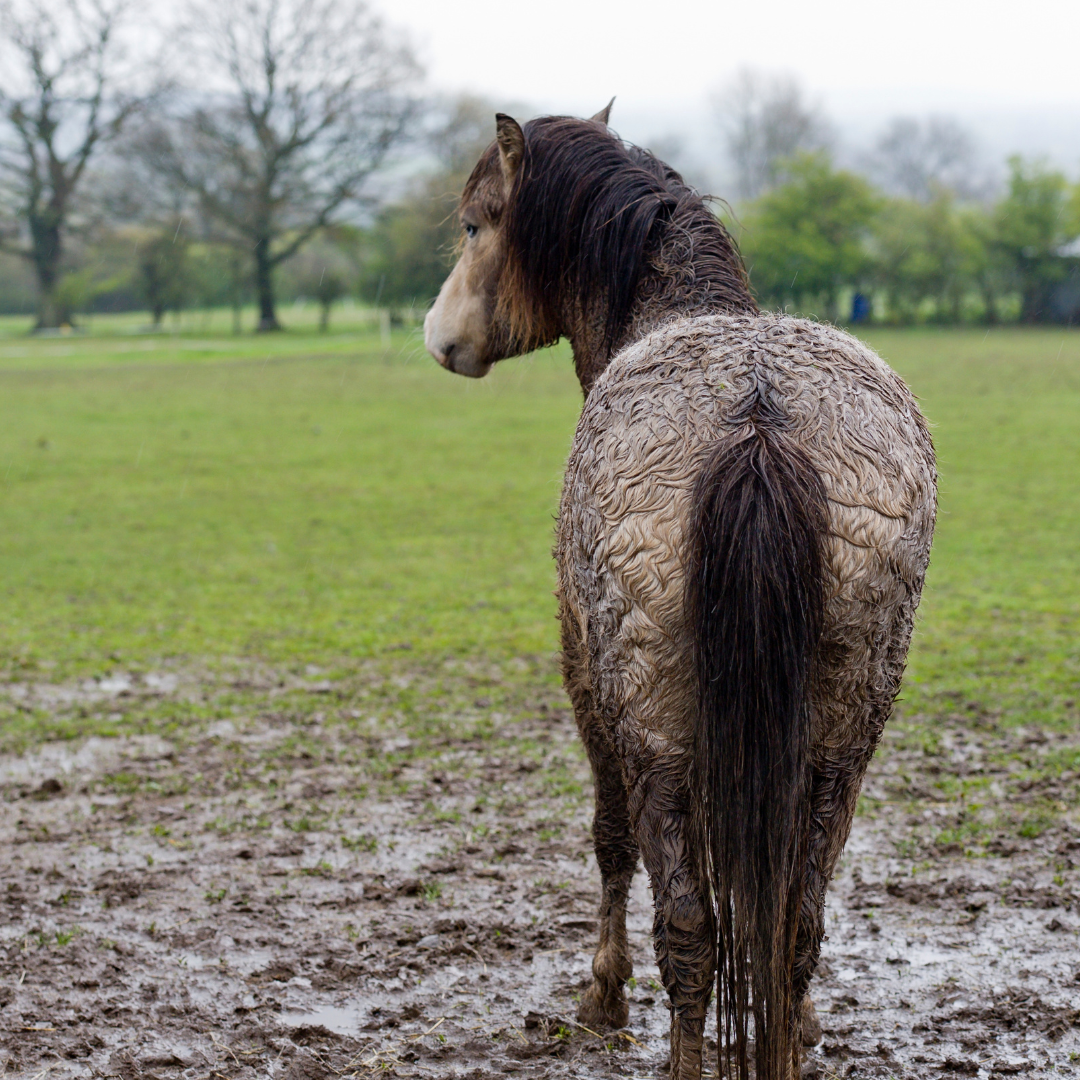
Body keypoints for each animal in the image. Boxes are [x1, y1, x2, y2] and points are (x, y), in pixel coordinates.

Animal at [424, 106, 936, 1080]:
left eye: (474, 224)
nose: (438, 336)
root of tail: (759, 421)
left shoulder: (585, 675)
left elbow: (610, 838)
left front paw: (602, 992)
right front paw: (804, 1023)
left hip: (654, 725)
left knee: (691, 924)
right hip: (841, 740)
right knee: (795, 920)